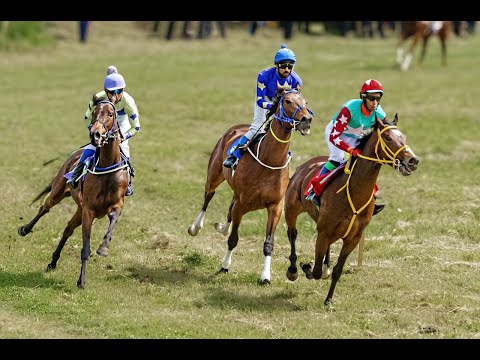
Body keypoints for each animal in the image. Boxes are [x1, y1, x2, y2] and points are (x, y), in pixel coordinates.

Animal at [18, 96, 128, 290]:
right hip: (59, 192)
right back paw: (25, 229)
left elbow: (113, 219)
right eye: (94, 112)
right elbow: (85, 248)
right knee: (44, 208)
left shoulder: (116, 204)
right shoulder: (89, 211)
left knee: (68, 228)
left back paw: (53, 262)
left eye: (110, 114)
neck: (107, 167)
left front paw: (103, 247)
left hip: (79, 210)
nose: (95, 134)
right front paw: (81, 281)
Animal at [188, 89, 316, 284]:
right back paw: (196, 227)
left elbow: (268, 244)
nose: (306, 119)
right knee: (208, 197)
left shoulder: (275, 207)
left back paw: (222, 227)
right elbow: (233, 239)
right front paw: (225, 266)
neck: (269, 160)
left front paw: (265, 276)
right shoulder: (242, 205)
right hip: (214, 176)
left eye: (305, 101)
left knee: (229, 206)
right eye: (287, 101)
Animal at [284, 114, 418, 306]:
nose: (413, 161)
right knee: (292, 235)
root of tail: (304, 166)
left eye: (404, 137)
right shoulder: (323, 232)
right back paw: (293, 269)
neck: (354, 193)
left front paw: (329, 299)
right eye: (388, 138)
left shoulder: (352, 238)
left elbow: (337, 269)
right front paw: (306, 267)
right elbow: (315, 271)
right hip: (291, 210)